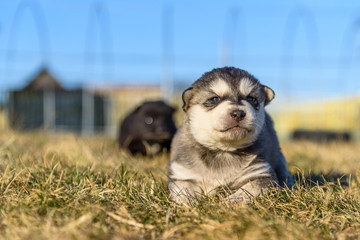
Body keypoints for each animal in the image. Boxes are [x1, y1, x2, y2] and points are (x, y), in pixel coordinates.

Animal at [167, 67, 294, 202]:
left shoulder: (261, 172)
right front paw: (189, 204)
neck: (224, 150)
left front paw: (231, 201)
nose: (238, 113)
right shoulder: (181, 174)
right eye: (215, 99)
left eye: (250, 99)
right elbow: (183, 192)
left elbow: (248, 190)